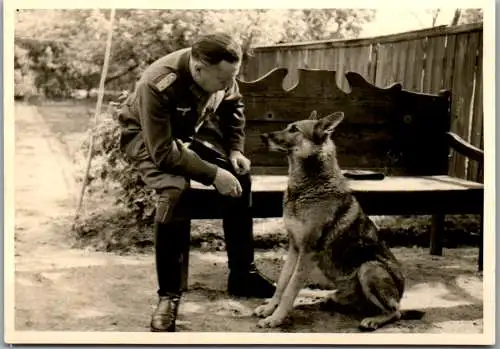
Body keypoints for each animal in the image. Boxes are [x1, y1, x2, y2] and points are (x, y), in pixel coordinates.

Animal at [256, 110, 424, 330]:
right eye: (287, 126)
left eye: (294, 129)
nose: (262, 136)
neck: (307, 187)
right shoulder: (294, 248)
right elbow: (282, 283)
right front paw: (270, 309)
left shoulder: (307, 252)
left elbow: (290, 289)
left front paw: (276, 318)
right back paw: (328, 301)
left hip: (369, 268)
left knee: (395, 312)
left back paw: (373, 319)